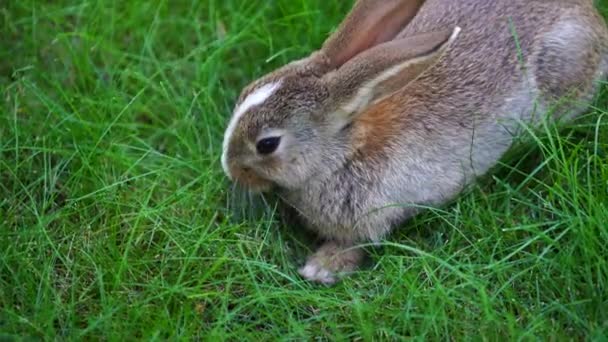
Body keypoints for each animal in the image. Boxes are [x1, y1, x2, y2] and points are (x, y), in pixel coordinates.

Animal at [220, 0, 608, 284]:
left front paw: (322, 268)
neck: (345, 152)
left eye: (267, 144)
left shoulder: (375, 216)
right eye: (244, 93)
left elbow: (357, 242)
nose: (230, 170)